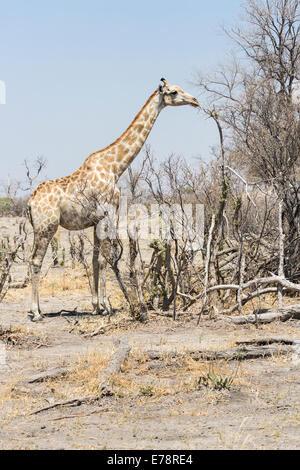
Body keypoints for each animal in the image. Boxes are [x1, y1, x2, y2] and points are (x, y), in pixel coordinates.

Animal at [27, 78, 199, 320]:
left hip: (38, 227)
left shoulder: (96, 220)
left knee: (31, 259)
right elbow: (105, 259)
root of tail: (30, 202)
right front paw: (106, 307)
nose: (195, 101)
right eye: (174, 92)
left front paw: (96, 306)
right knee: (35, 260)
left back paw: (38, 309)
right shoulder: (107, 214)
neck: (115, 167)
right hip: (46, 226)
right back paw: (36, 312)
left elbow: (95, 260)